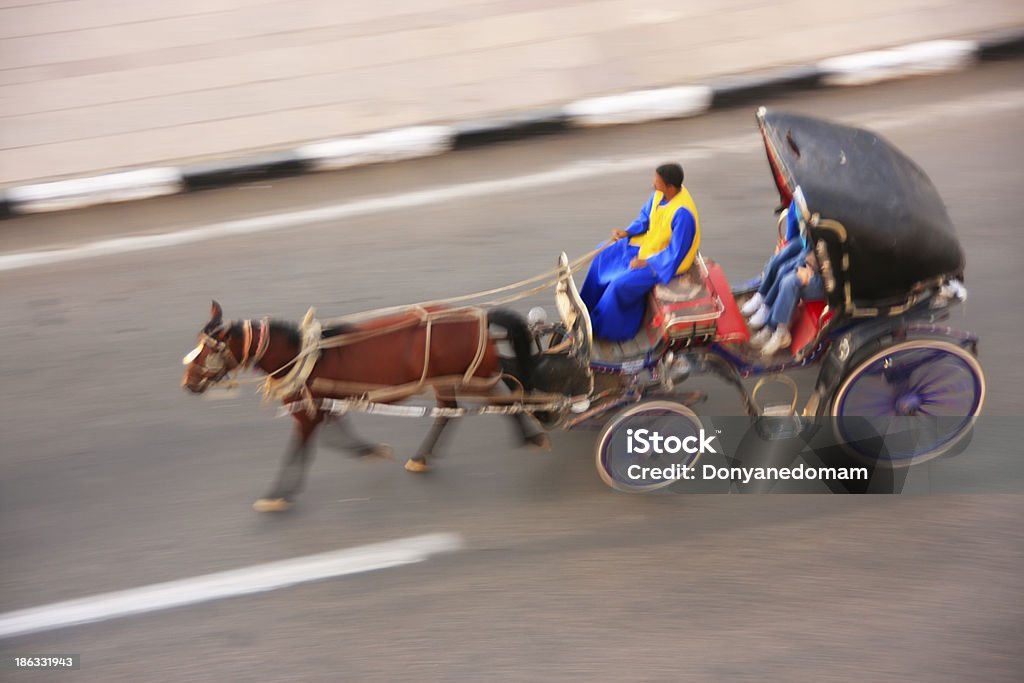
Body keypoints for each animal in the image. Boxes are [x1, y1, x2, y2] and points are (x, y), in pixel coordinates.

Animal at [180, 301, 548, 509]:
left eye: (208, 349)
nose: (187, 382)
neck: (303, 355)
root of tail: (480, 318)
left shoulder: (307, 414)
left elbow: (299, 448)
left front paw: (277, 494)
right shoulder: (323, 406)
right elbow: (333, 436)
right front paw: (370, 450)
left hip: (473, 375)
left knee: (499, 399)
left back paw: (531, 437)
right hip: (449, 378)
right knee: (452, 410)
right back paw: (422, 456)